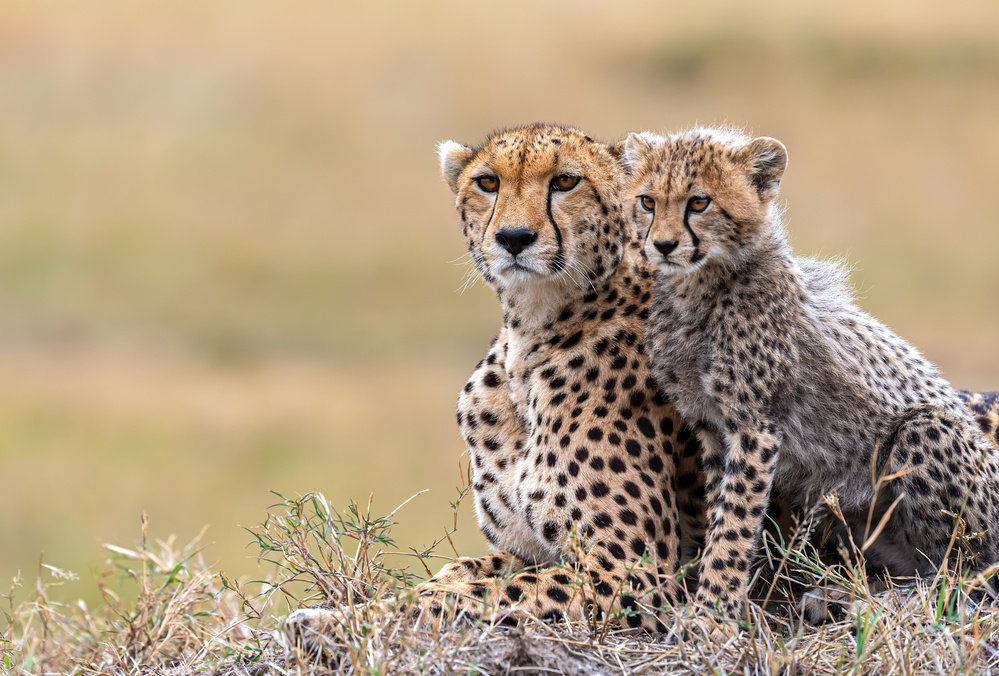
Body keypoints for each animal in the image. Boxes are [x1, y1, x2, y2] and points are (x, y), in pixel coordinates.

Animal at [628, 125, 999, 616]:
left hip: (926, 430)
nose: (664, 245)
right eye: (648, 202)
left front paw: (711, 613)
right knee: (923, 568)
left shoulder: (756, 427)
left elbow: (734, 524)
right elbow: (719, 513)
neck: (700, 288)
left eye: (699, 202)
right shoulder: (710, 426)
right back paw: (840, 596)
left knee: (965, 576)